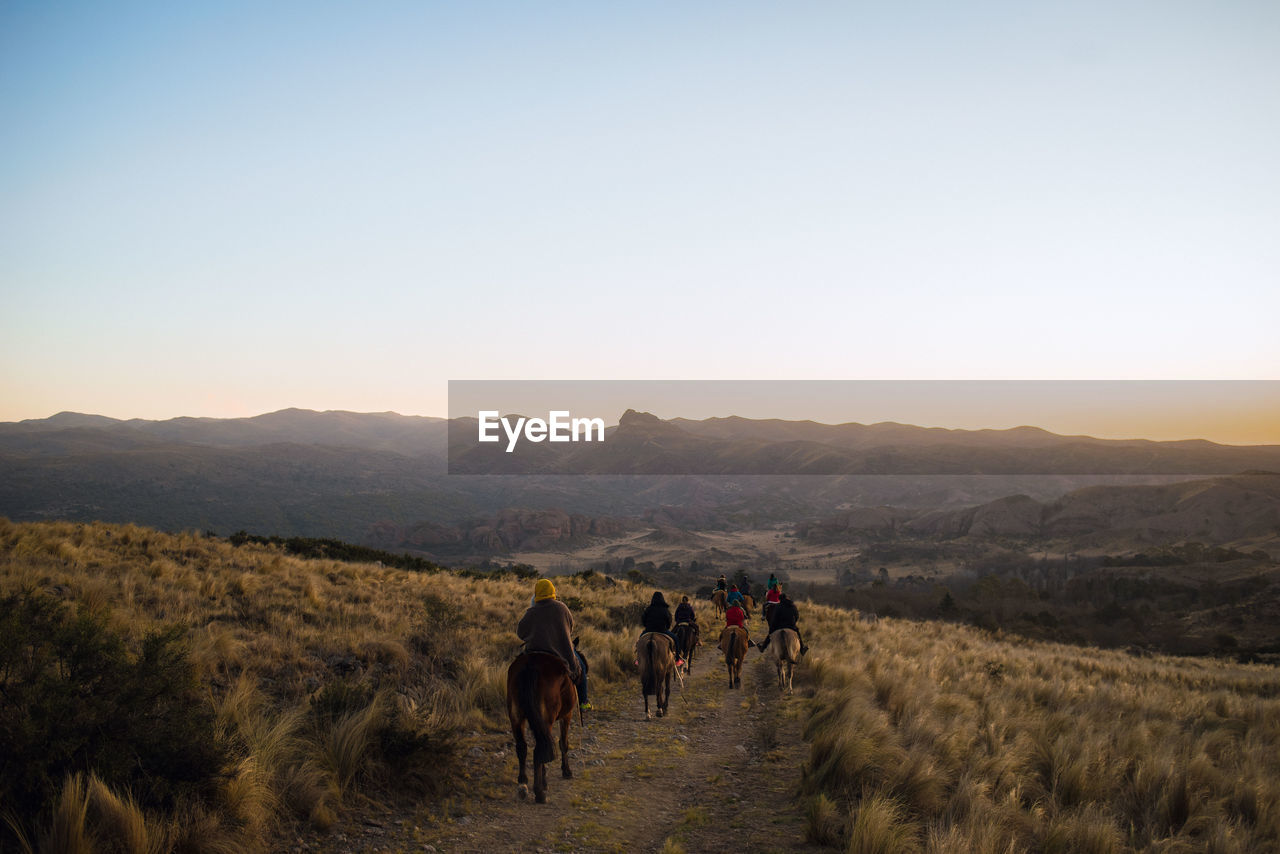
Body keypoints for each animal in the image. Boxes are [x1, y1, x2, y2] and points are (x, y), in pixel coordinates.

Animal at [504, 650, 576, 804]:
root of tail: (529, 665)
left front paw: (545, 781)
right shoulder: (567, 715)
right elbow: (563, 743)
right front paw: (566, 771)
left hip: (516, 717)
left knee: (522, 747)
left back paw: (522, 783)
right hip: (546, 719)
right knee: (538, 750)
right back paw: (539, 793)